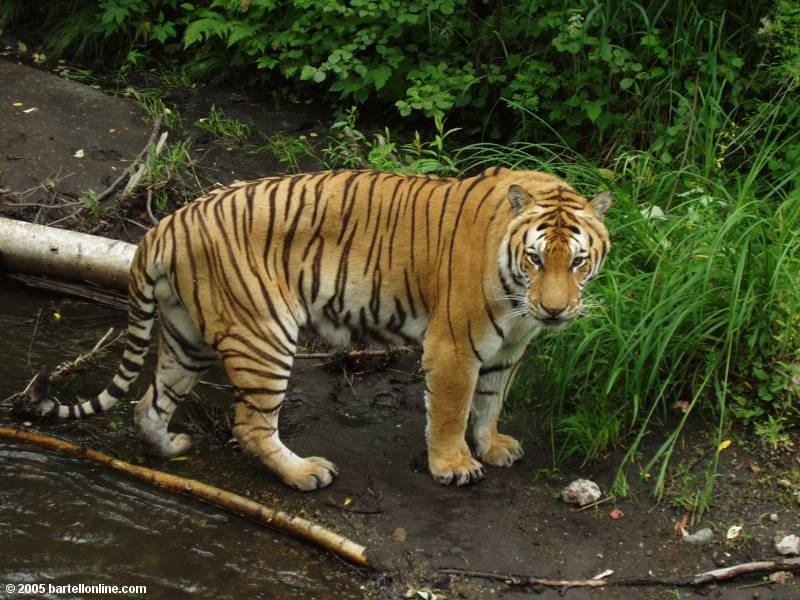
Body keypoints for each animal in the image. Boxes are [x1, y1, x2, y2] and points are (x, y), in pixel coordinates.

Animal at [34, 166, 612, 490]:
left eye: (577, 262)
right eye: (535, 259)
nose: (555, 310)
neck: (519, 300)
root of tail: (168, 221)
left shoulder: (507, 348)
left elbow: (489, 401)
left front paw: (491, 446)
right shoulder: (454, 345)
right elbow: (451, 410)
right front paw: (453, 465)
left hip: (186, 336)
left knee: (148, 404)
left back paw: (169, 449)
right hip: (264, 335)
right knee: (250, 425)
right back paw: (304, 474)